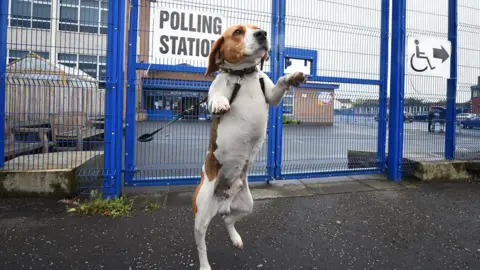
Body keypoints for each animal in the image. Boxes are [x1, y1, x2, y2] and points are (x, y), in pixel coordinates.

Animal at [192, 23, 308, 270]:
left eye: (257, 29)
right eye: (237, 32)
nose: (262, 34)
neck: (243, 75)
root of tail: (223, 199)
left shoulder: (272, 96)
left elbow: (280, 84)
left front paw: (293, 76)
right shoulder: (214, 92)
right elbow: (215, 97)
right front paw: (220, 103)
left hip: (247, 204)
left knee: (228, 219)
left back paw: (235, 237)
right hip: (201, 214)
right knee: (201, 243)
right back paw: (205, 265)